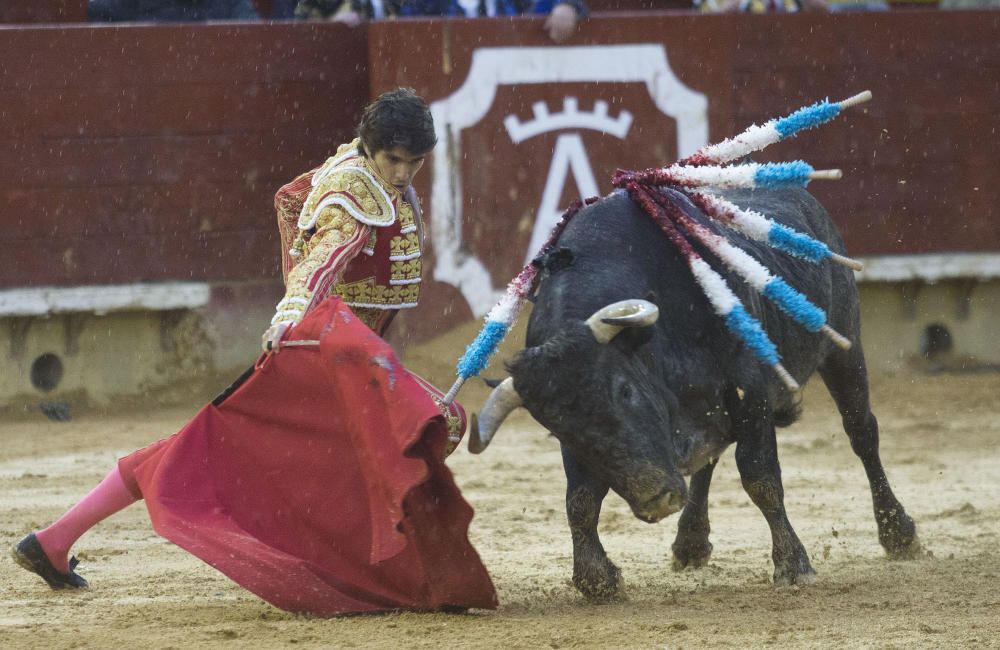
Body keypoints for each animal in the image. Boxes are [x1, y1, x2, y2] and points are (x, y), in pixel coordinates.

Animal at [472, 185, 916, 600]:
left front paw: (794, 565)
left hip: (844, 346)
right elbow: (580, 499)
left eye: (625, 391)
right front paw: (597, 579)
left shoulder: (750, 391)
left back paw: (899, 533)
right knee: (708, 459)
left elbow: (760, 476)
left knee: (861, 432)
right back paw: (690, 542)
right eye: (561, 429)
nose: (656, 498)